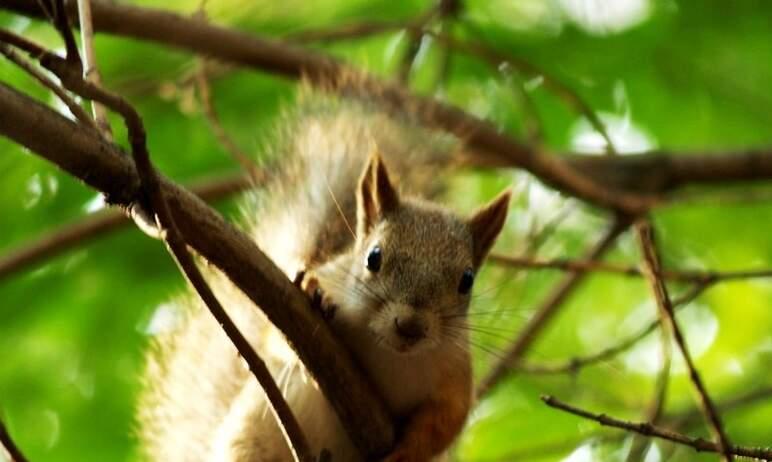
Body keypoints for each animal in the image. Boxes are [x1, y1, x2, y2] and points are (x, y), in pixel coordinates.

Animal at [137, 94, 512, 462]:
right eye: (373, 257)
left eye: (467, 280)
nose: (410, 327)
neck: (389, 352)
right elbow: (276, 336)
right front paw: (317, 296)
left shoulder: (454, 371)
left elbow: (445, 422)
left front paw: (407, 453)